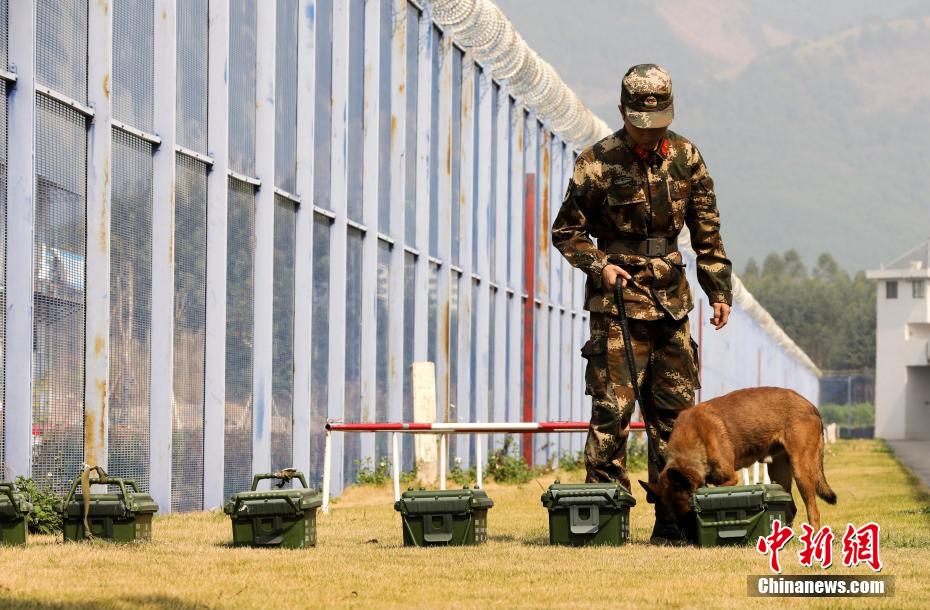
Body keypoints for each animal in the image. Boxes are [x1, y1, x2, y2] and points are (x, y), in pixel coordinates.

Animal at [640, 388, 832, 528]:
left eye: (690, 514)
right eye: (671, 519)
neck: (694, 437)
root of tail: (811, 405)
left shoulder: (731, 479)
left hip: (801, 471)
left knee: (813, 512)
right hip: (778, 474)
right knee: (790, 508)